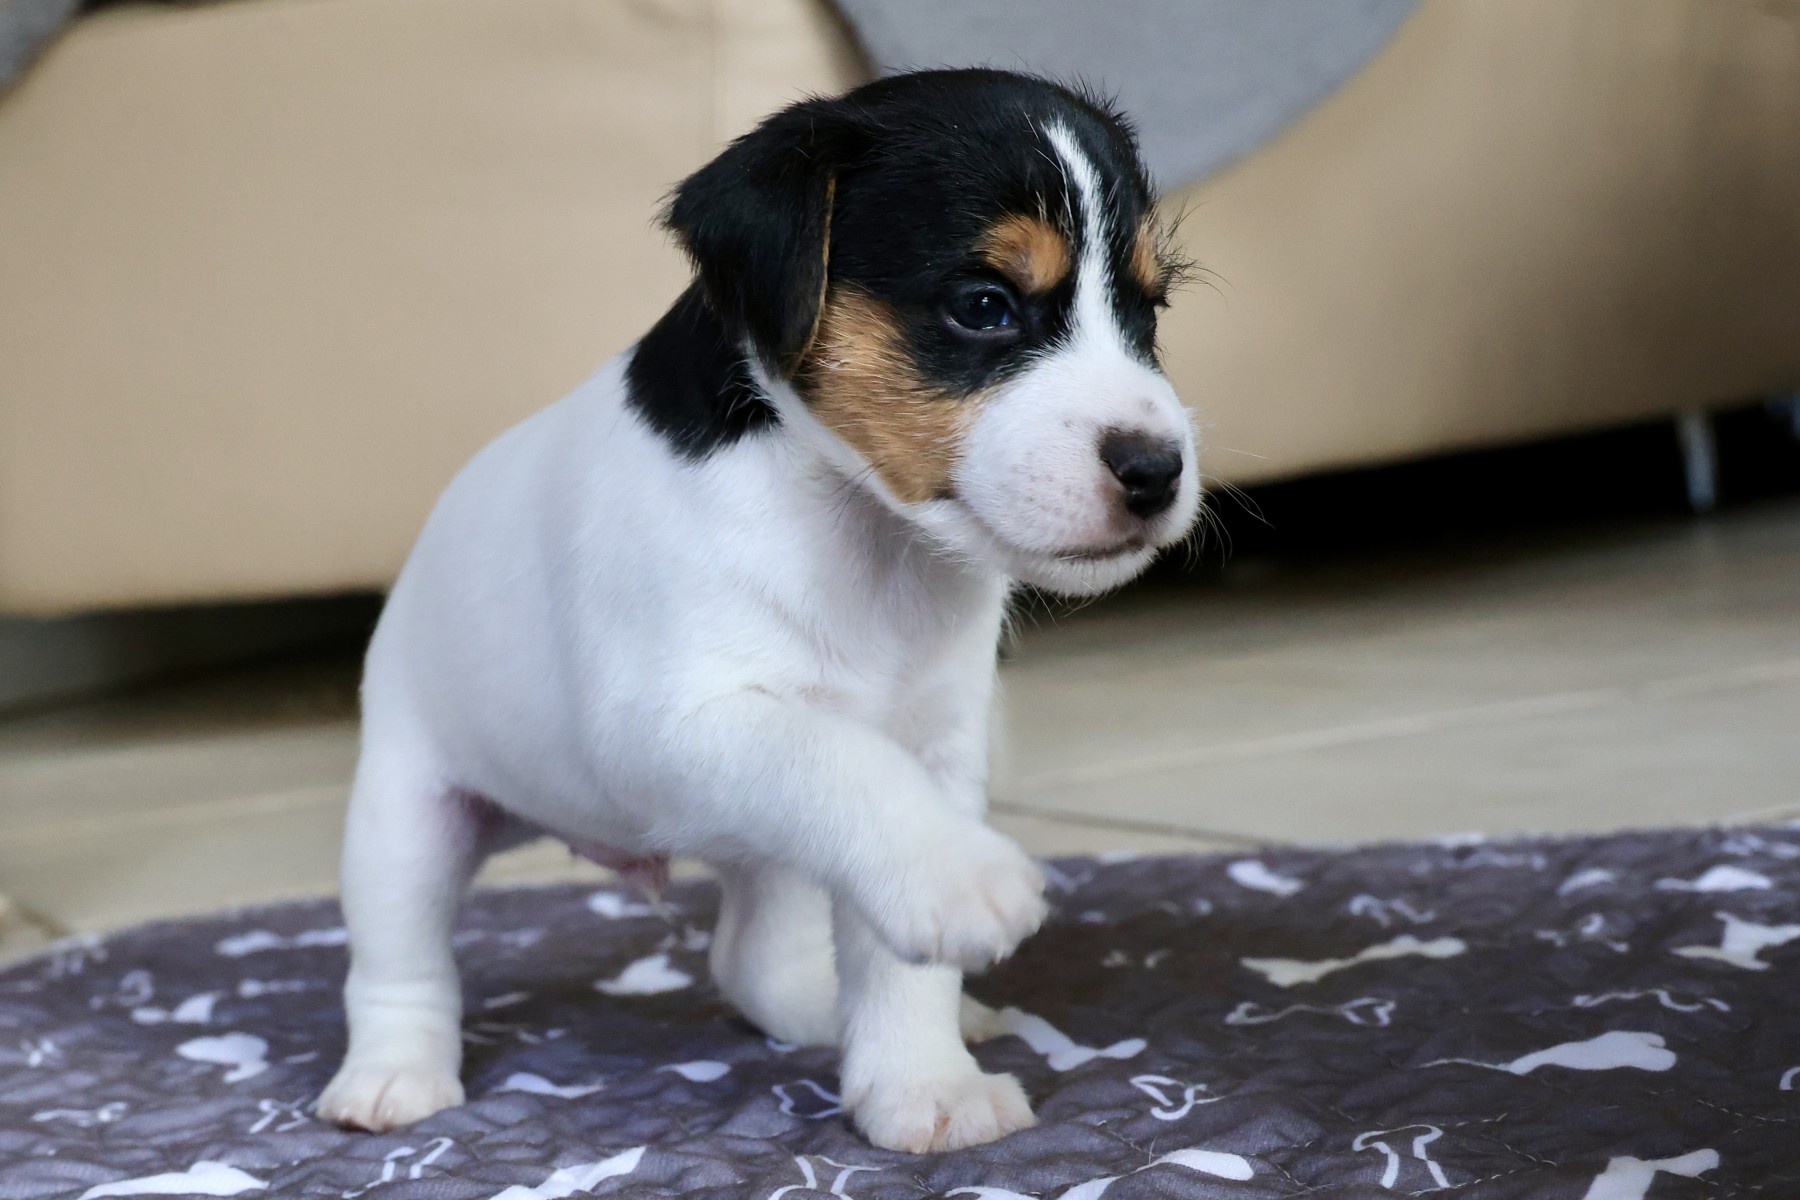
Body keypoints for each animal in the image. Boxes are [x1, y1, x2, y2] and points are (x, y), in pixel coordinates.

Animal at [316, 68, 1199, 1154]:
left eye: (1150, 311)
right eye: (984, 305)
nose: (1158, 471)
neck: (864, 535)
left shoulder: (936, 749)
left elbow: (895, 944)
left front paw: (924, 1083)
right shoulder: (676, 727)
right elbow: (845, 765)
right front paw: (961, 876)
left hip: (763, 847)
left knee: (753, 959)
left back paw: (834, 1012)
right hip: (408, 816)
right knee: (398, 960)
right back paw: (392, 1078)